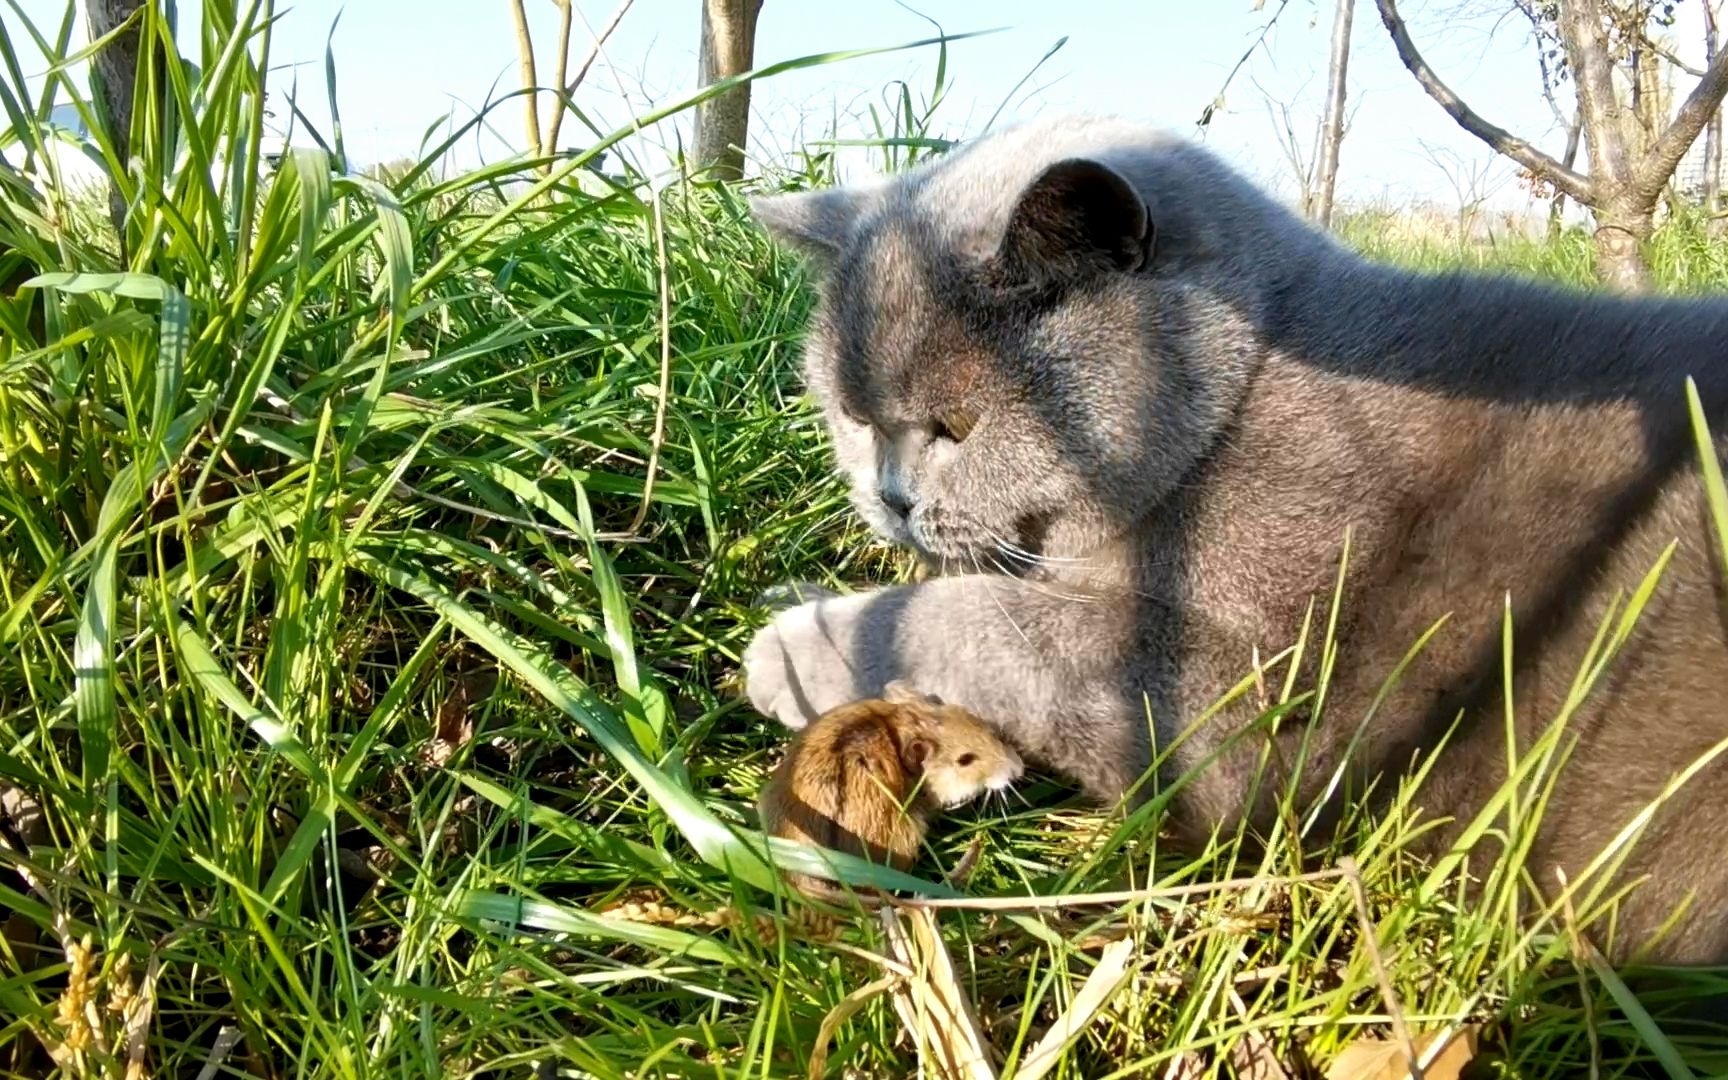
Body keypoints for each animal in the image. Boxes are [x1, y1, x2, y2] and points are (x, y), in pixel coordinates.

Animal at [749, 114, 1728, 967]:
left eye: (955, 426)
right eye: (852, 417)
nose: (890, 498)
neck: (1239, 412)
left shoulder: (1263, 693)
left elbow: (995, 618)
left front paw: (797, 646)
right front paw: (800, 602)